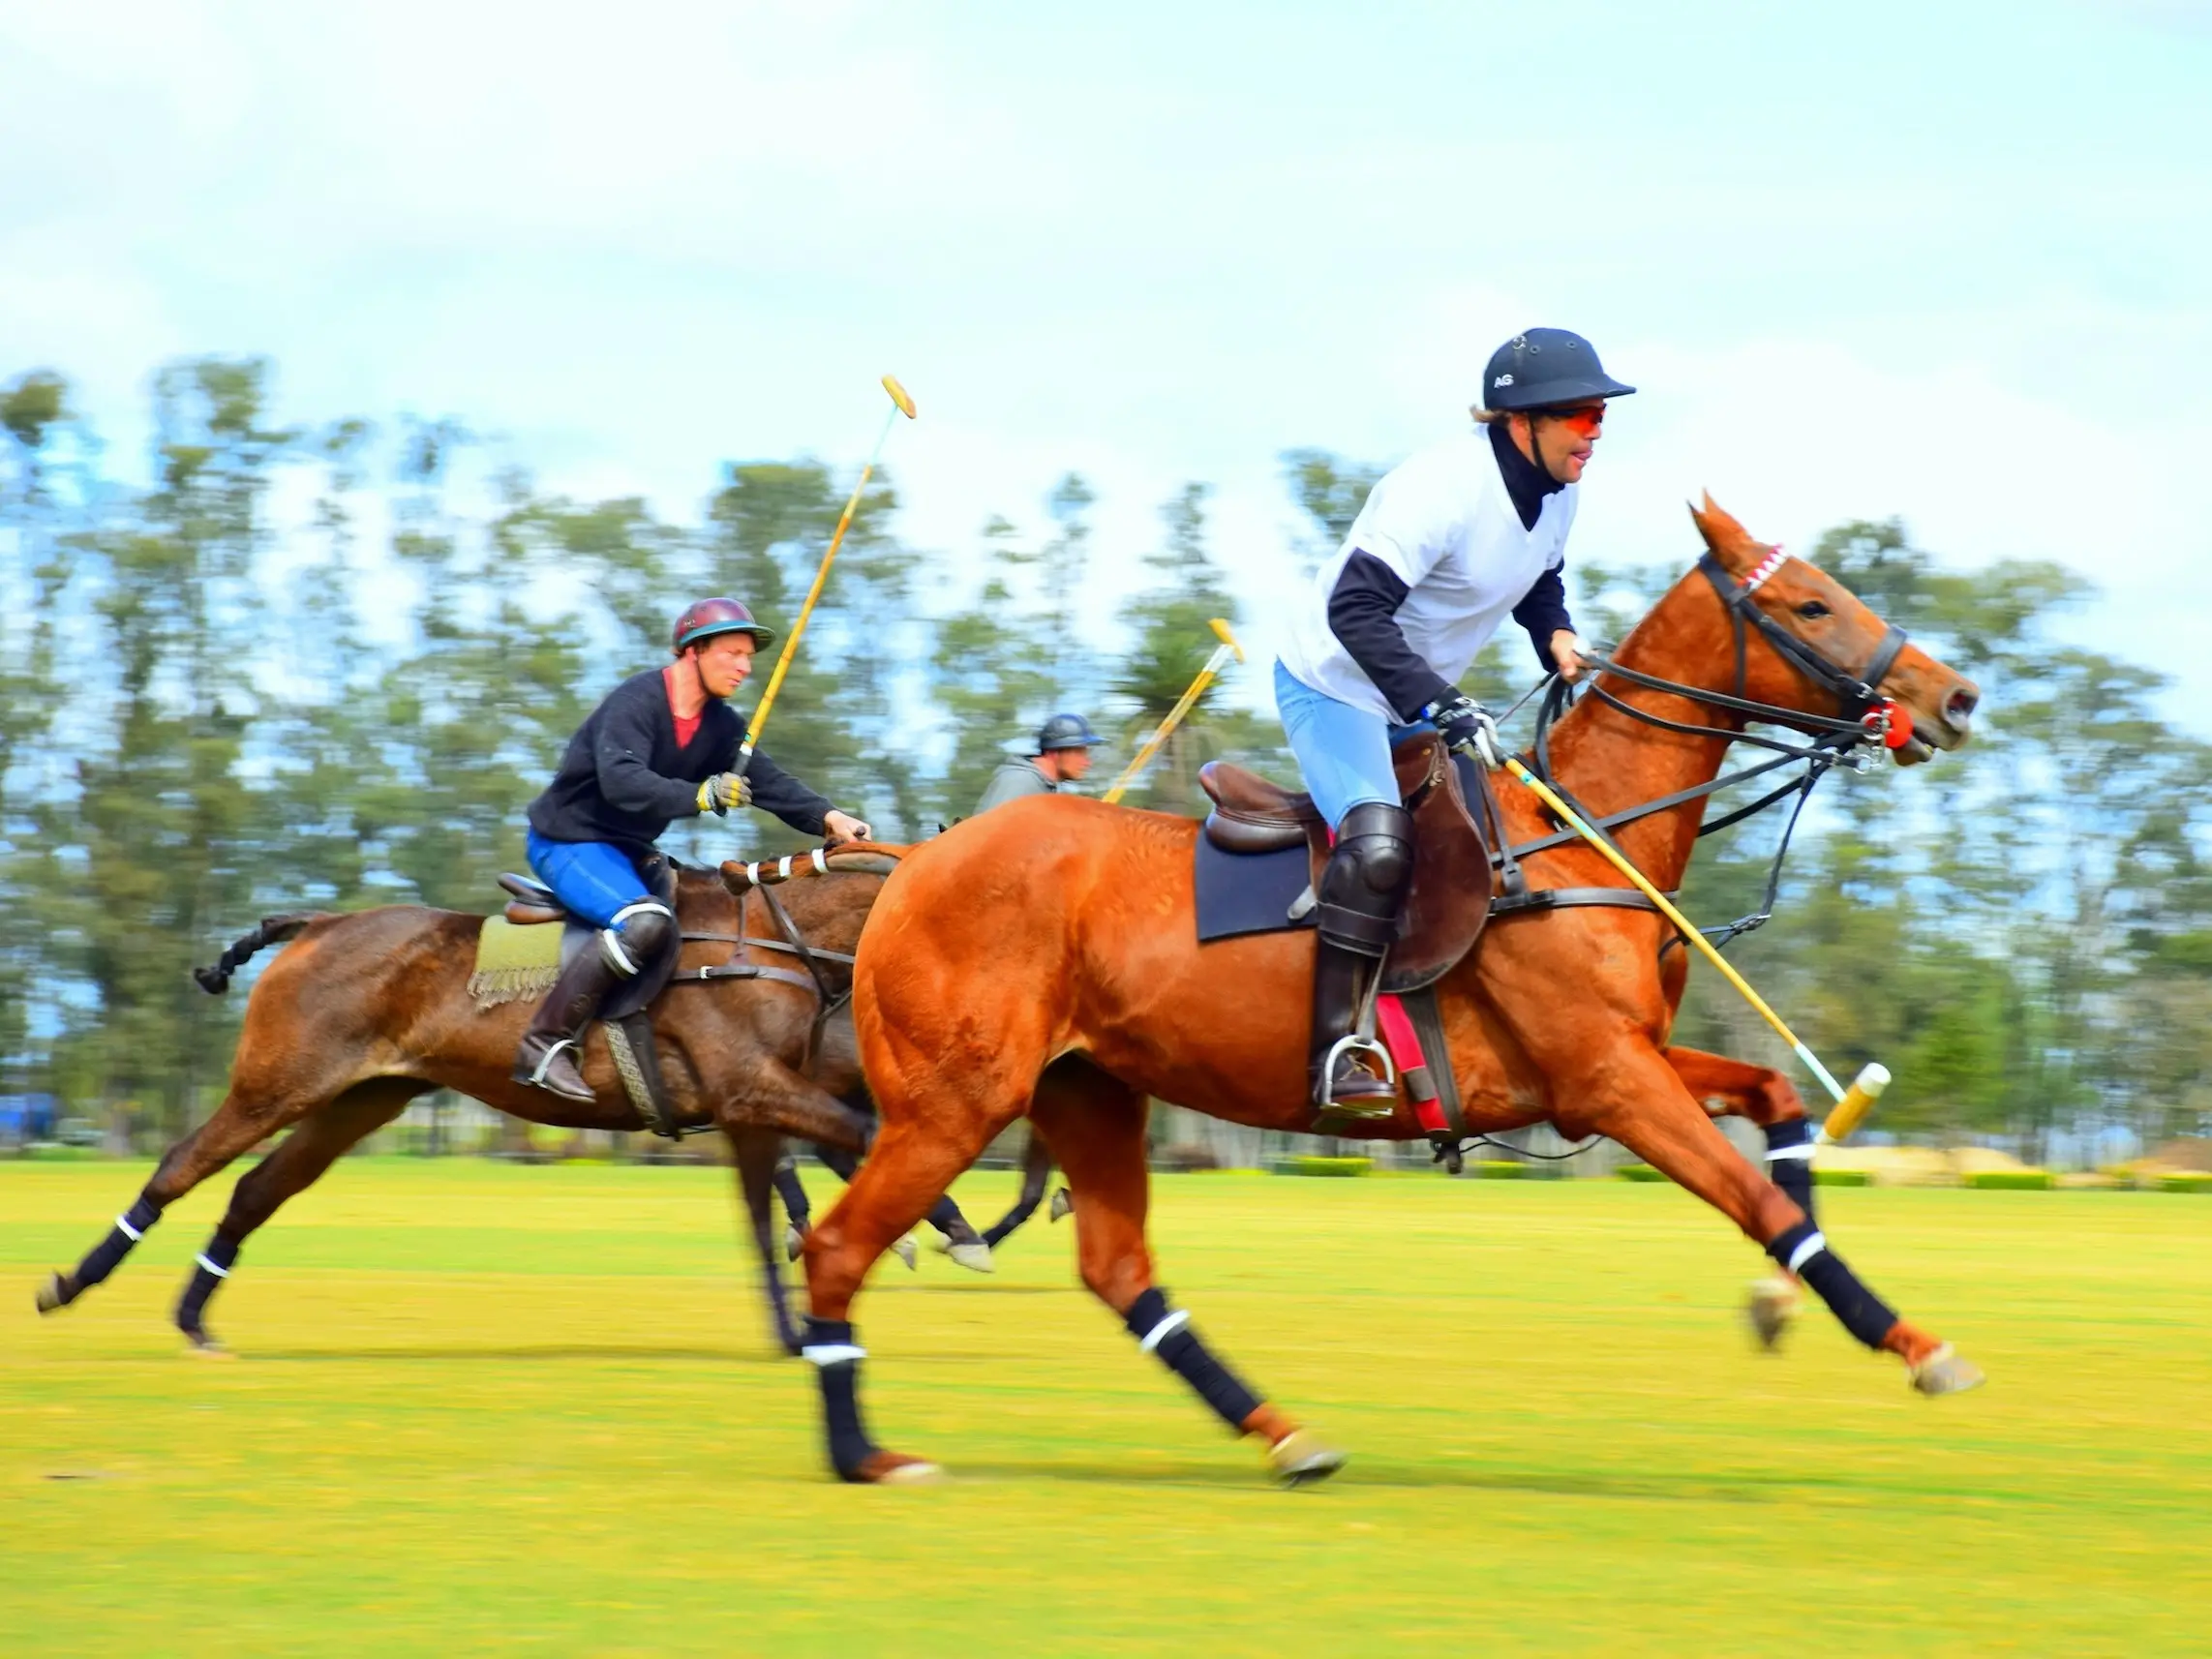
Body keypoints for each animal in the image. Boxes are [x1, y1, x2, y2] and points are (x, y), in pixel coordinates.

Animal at [25, 849, 911, 1353]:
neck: (768, 944)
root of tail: (320, 921)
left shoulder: (750, 1111)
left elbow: (771, 1216)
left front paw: (801, 1324)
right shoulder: (752, 1091)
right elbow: (855, 1145)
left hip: (359, 1101)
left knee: (254, 1190)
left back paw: (194, 1317)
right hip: (275, 1083)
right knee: (180, 1165)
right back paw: (73, 1284)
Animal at [796, 499, 1990, 1486]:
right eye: (1811, 602)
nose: (1955, 697)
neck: (1574, 838)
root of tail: (911, 863)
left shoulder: (1615, 1062)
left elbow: (1779, 1107)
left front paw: (1777, 1306)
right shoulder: (1605, 1080)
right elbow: (1758, 1200)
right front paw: (1923, 1348)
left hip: (1087, 1090)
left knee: (1116, 1266)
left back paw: (1285, 1436)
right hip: (955, 1100)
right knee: (840, 1245)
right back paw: (865, 1454)